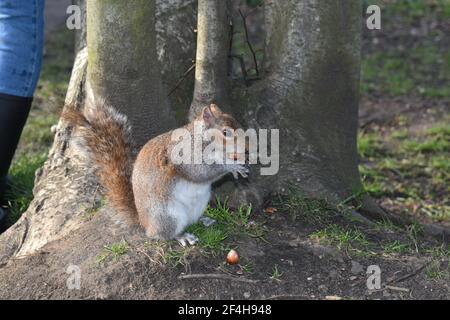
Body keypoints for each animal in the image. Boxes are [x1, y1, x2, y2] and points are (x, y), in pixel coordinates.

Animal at [62, 100, 250, 245]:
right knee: (162, 235)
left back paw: (204, 219)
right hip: (167, 215)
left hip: (199, 204)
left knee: (192, 220)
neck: (201, 139)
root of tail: (144, 223)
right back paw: (182, 237)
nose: (247, 149)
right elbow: (200, 171)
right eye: (225, 132)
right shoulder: (186, 156)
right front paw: (231, 167)